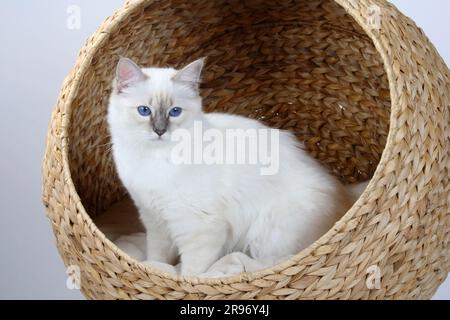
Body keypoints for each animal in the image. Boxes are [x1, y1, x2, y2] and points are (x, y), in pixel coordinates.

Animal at [107, 58, 354, 276]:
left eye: (175, 112)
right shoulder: (154, 219)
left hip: (267, 236)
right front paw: (154, 271)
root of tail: (344, 198)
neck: (154, 159)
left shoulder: (199, 226)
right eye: (144, 110)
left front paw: (184, 282)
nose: (159, 131)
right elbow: (157, 259)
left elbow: (192, 273)